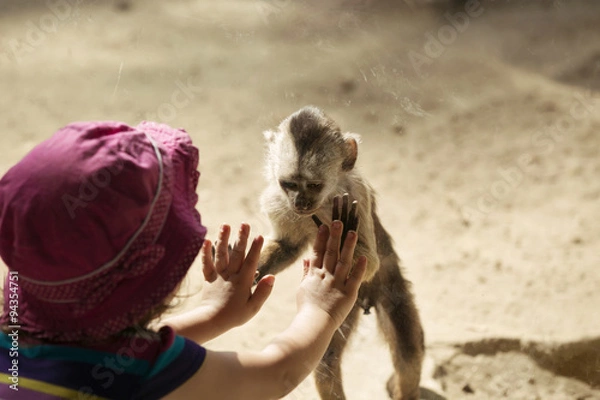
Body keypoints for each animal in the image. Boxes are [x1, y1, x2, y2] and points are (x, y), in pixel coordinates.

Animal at [258, 106, 426, 400]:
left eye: (313, 185)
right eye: (289, 184)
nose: (300, 202)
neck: (324, 203)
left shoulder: (356, 193)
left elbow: (370, 260)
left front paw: (339, 240)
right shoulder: (277, 199)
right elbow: (287, 245)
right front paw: (253, 269)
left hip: (389, 288)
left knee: (408, 351)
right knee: (324, 359)